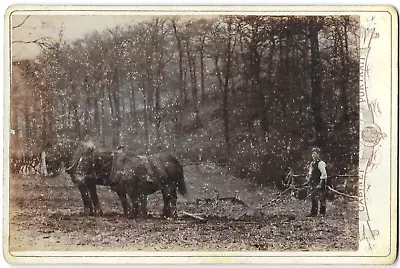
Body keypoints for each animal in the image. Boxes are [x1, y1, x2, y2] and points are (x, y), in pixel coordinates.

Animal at [44, 140, 188, 218]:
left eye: (49, 158)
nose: (50, 174)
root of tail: (174, 159)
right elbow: (93, 198)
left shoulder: (86, 183)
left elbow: (89, 198)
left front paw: (92, 212)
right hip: (165, 187)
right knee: (167, 199)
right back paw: (165, 215)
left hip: (170, 186)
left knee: (171, 199)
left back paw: (171, 215)